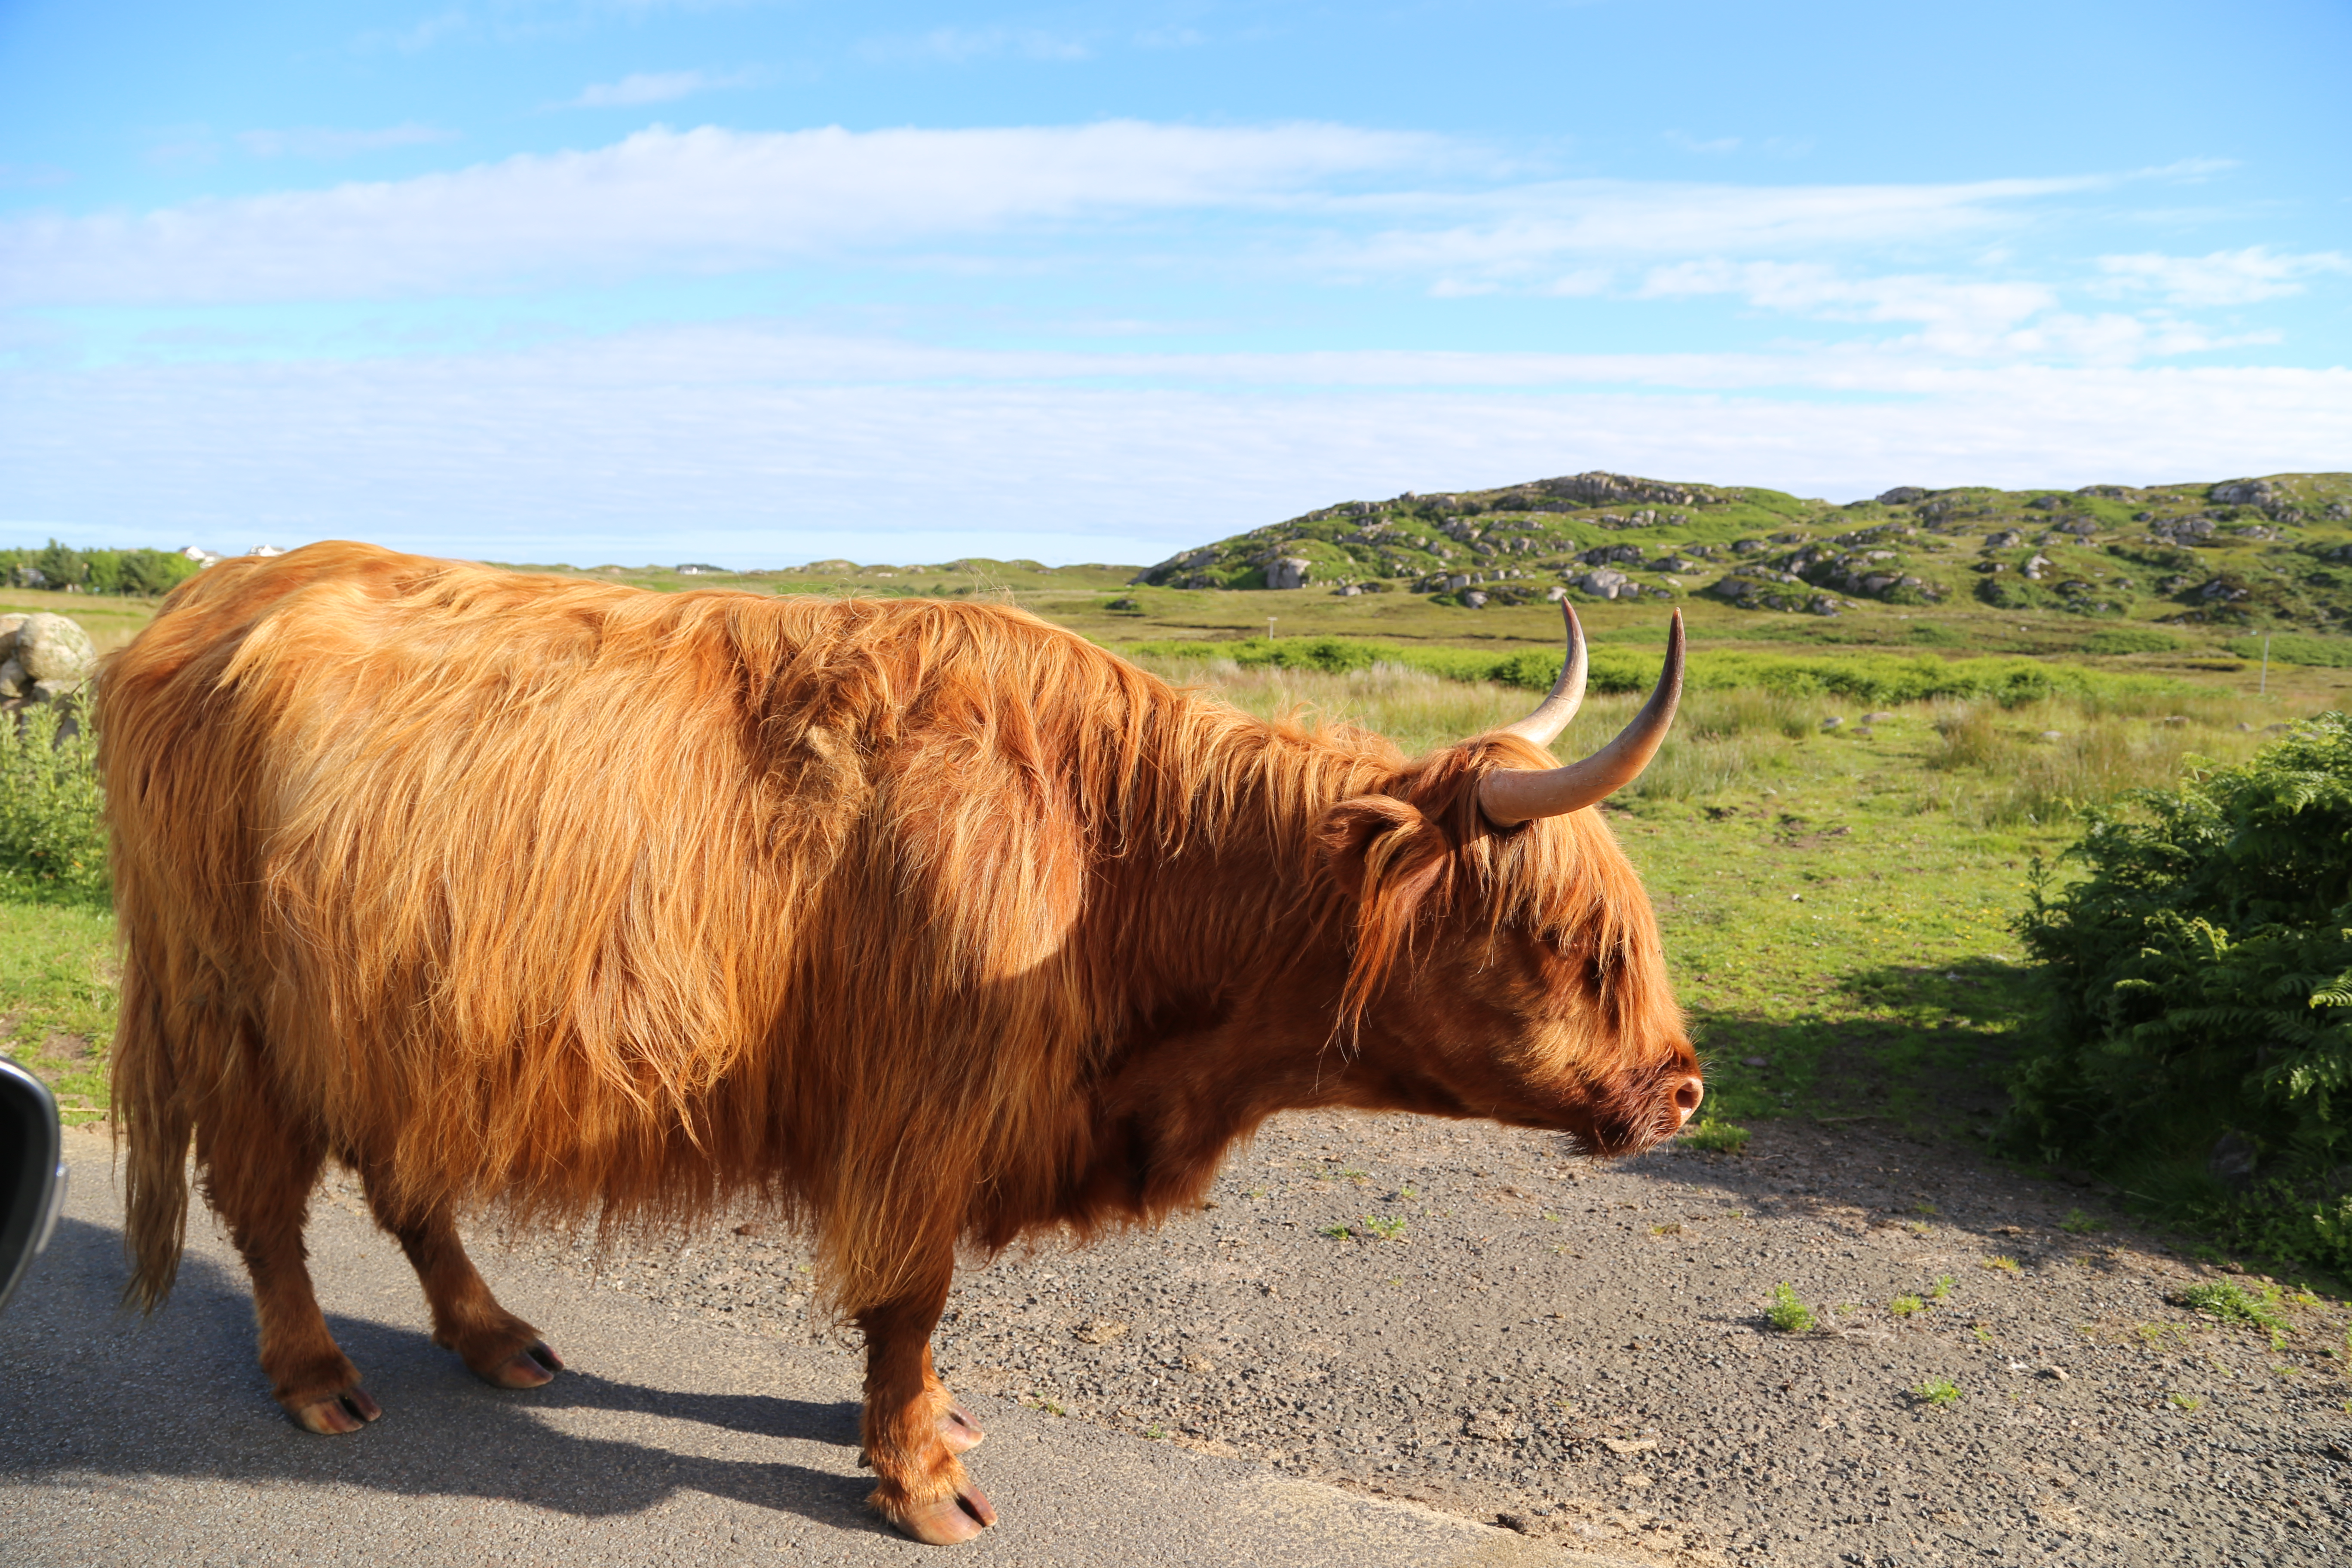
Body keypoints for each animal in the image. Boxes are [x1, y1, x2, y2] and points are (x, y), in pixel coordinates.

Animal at [106, 540, 1693, 1542]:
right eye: (1567, 938)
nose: (1681, 1089)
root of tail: (208, 597)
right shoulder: (923, 1112)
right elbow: (910, 1301)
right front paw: (921, 1474)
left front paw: (928, 1433)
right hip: (227, 1009)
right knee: (265, 1202)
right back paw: (317, 1375)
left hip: (390, 1021)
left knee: (405, 1179)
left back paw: (497, 1335)